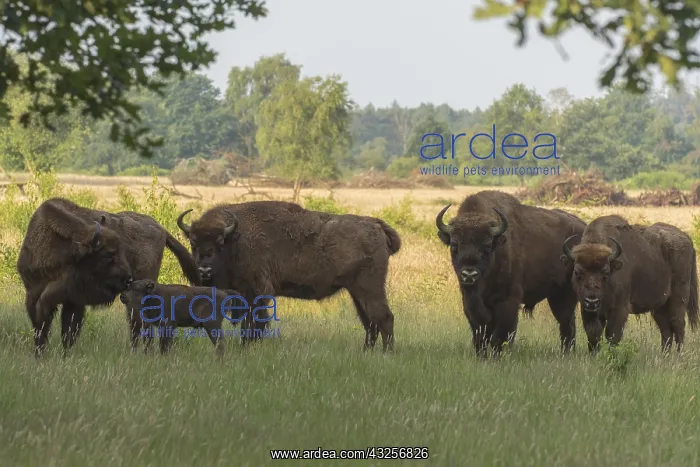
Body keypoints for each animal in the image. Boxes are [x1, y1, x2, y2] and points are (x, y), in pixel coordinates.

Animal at [17, 198, 200, 357]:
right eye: (108, 254)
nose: (127, 279)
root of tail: (161, 229)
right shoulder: (33, 296)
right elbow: (41, 328)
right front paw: (40, 355)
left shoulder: (74, 301)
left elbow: (68, 332)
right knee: (137, 326)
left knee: (141, 325)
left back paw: (143, 353)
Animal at [176, 200, 401, 351]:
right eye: (193, 242)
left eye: (220, 242)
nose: (204, 270)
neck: (237, 239)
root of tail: (376, 225)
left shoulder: (257, 293)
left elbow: (254, 323)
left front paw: (247, 347)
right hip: (356, 291)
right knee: (369, 321)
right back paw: (366, 351)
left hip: (369, 287)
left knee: (384, 317)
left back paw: (387, 353)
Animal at [435, 190, 586, 357]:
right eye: (454, 245)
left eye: (487, 245)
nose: (469, 274)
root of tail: (583, 227)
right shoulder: (470, 304)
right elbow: (480, 336)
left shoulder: (507, 301)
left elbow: (500, 336)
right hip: (556, 295)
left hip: (566, 294)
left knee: (567, 324)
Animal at [560, 215, 699, 353]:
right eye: (577, 272)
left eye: (606, 272)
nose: (592, 300)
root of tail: (686, 238)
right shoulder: (587, 311)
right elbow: (593, 335)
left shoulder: (620, 310)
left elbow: (612, 335)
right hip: (659, 306)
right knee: (666, 329)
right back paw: (664, 355)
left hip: (679, 299)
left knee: (678, 325)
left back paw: (679, 354)